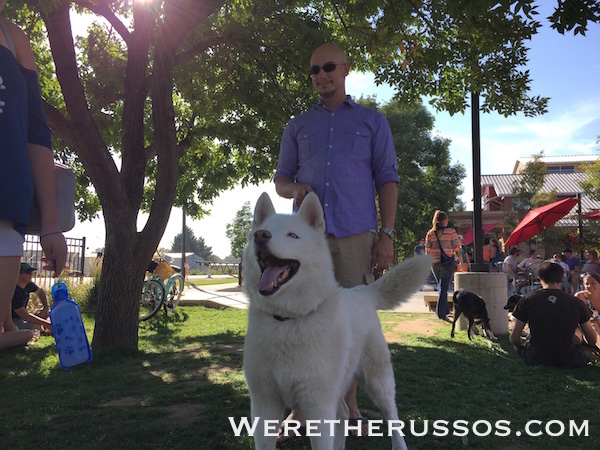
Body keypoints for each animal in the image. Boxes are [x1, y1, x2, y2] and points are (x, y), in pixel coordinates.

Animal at [244, 193, 432, 450]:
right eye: (262, 231)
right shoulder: (264, 405)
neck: (287, 320)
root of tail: (363, 291)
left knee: (392, 418)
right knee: (342, 414)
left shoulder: (319, 407)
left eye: (293, 236)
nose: (260, 236)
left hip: (378, 382)